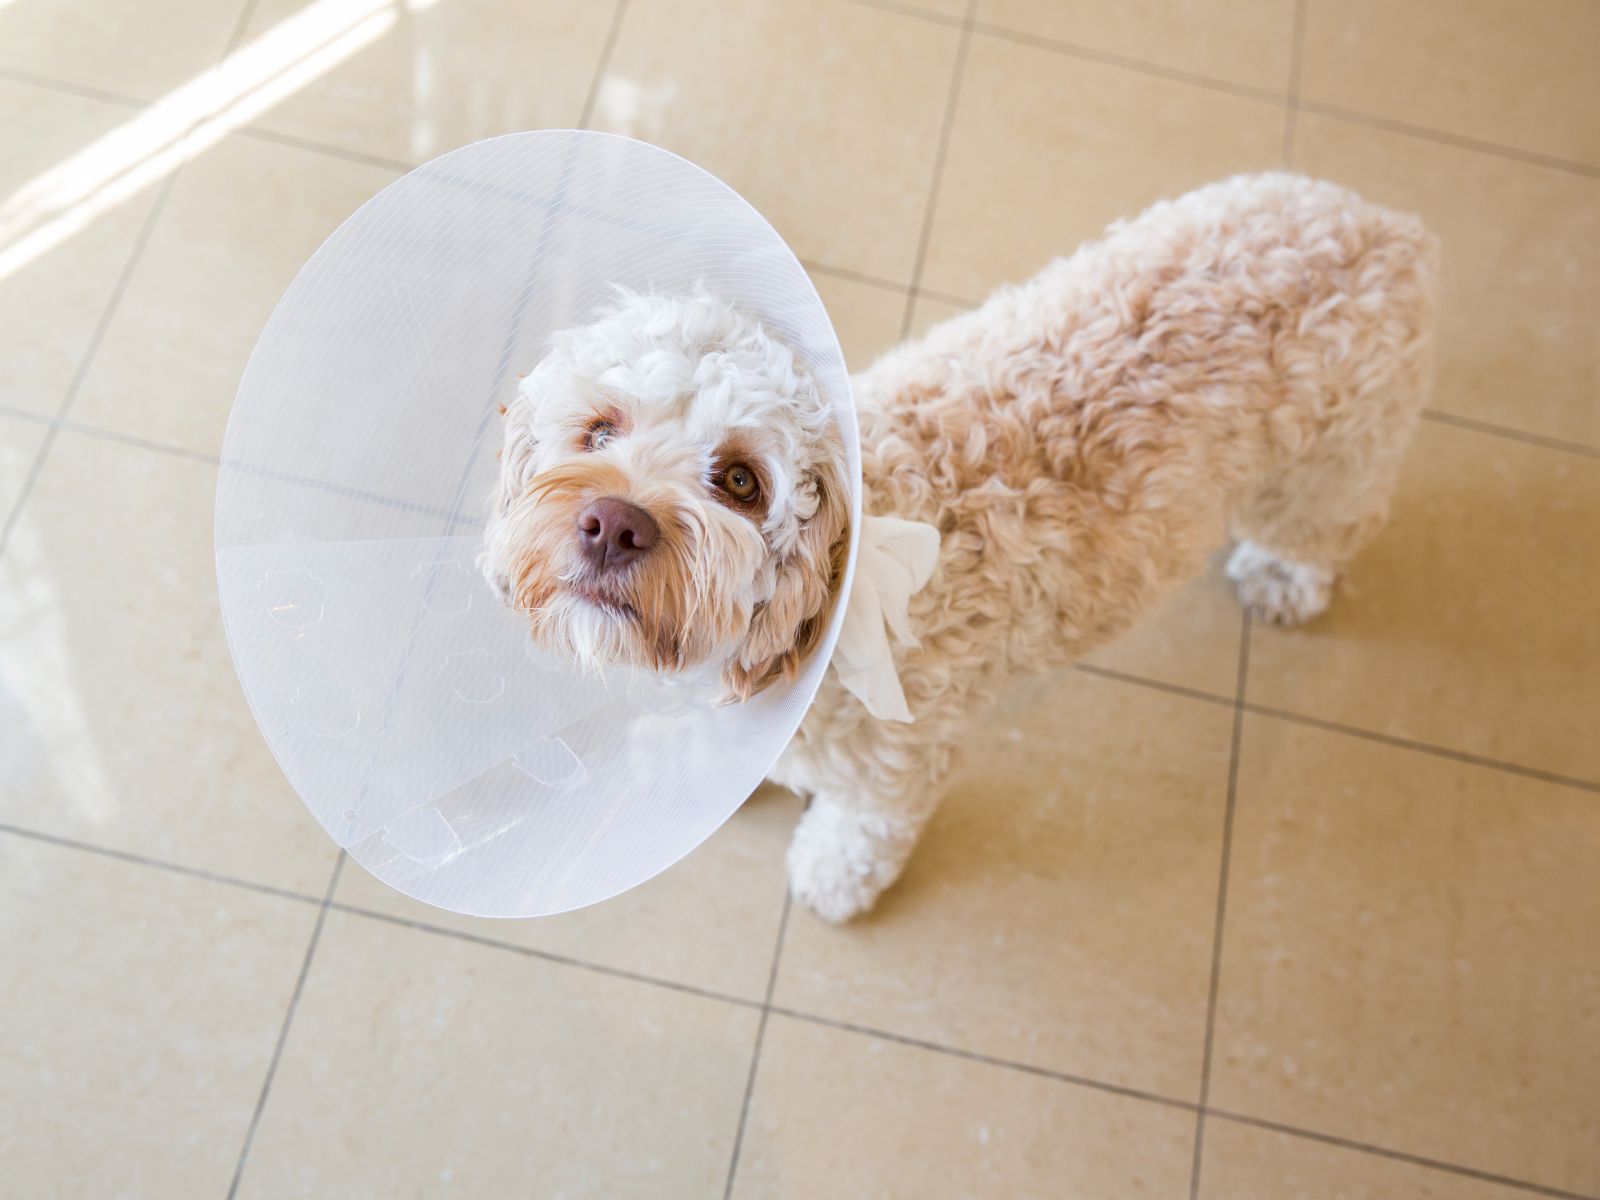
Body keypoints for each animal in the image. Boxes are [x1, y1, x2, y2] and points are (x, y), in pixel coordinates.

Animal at [483, 171, 1440, 921]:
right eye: (600, 429)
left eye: (742, 481)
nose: (613, 523)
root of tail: (1388, 228)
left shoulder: (899, 756)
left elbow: (866, 829)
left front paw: (831, 877)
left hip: (1330, 470)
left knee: (1328, 530)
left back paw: (1285, 579)